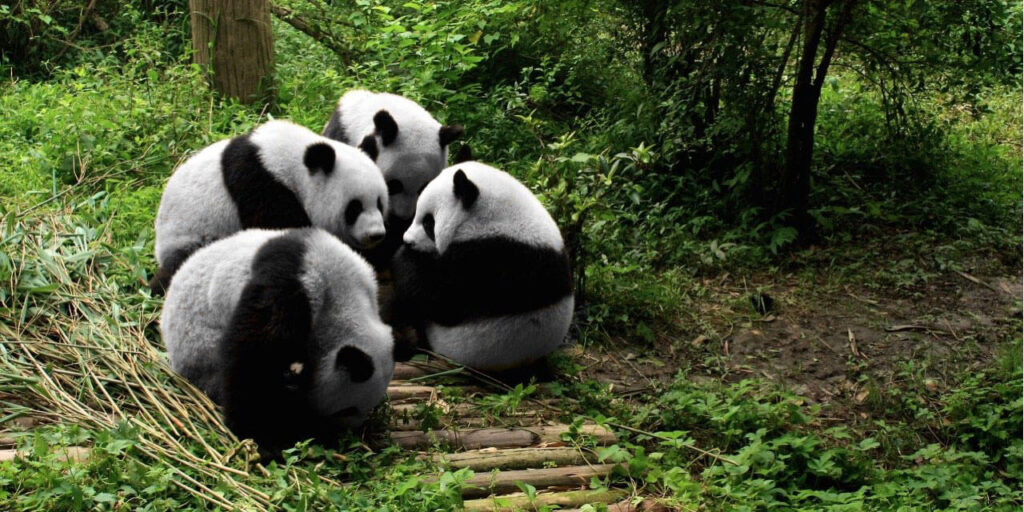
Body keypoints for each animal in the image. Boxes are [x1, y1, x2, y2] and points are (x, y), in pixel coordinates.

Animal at [161, 227, 394, 454]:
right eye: (347, 410)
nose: (345, 432)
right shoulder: (298, 284)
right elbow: (254, 358)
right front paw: (262, 435)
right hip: (202, 348)